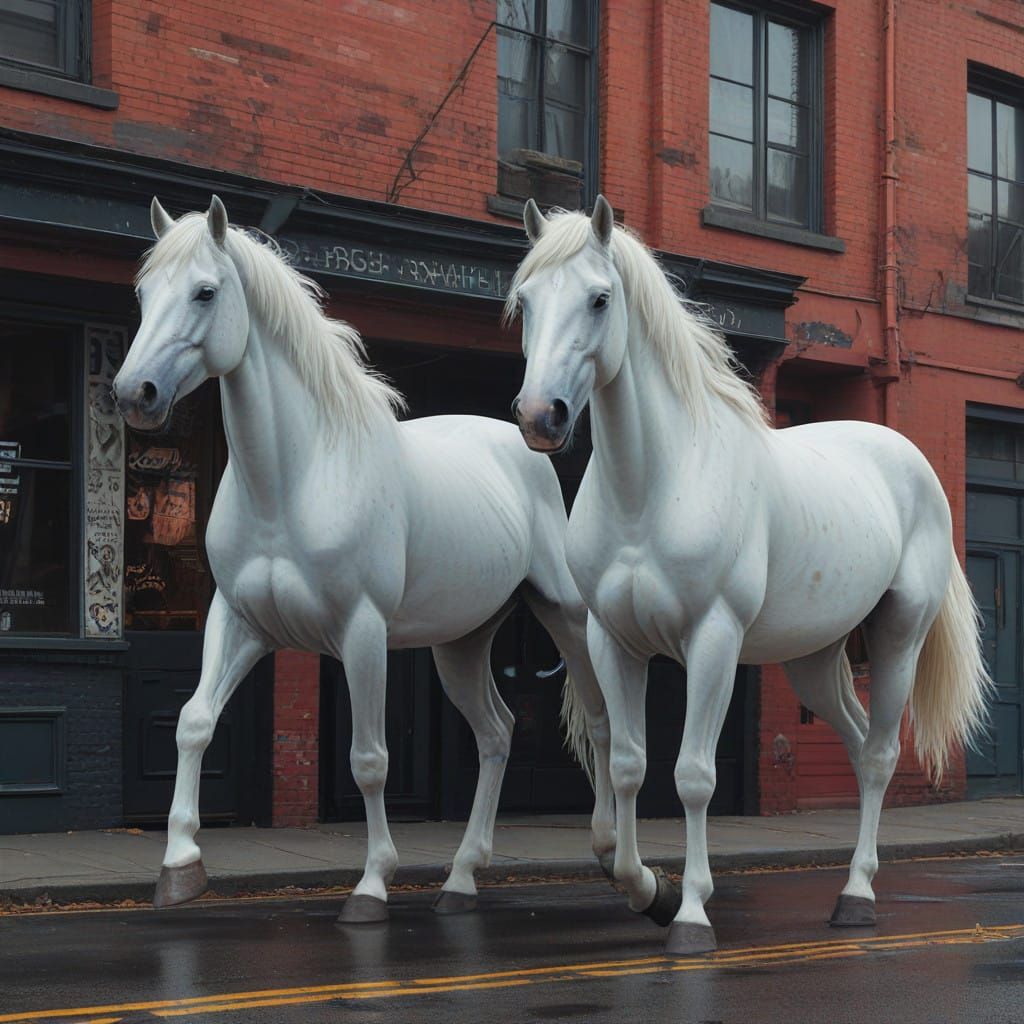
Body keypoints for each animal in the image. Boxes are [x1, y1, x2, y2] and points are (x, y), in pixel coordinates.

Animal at [112, 195, 616, 922]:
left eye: (205, 292)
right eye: (144, 292)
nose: (135, 395)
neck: (292, 481)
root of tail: (522, 442)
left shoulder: (362, 632)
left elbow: (369, 760)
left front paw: (372, 884)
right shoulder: (238, 621)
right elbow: (193, 722)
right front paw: (180, 866)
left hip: (563, 614)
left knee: (600, 721)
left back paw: (613, 854)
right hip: (462, 641)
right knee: (496, 732)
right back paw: (462, 877)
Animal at [507, 195, 992, 956]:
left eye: (599, 298)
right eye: (525, 300)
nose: (540, 417)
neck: (653, 486)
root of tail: (911, 461)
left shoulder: (713, 641)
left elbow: (693, 776)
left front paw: (691, 914)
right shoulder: (614, 643)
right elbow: (628, 764)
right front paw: (647, 889)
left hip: (898, 640)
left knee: (881, 755)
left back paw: (858, 895)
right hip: (813, 661)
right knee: (858, 743)